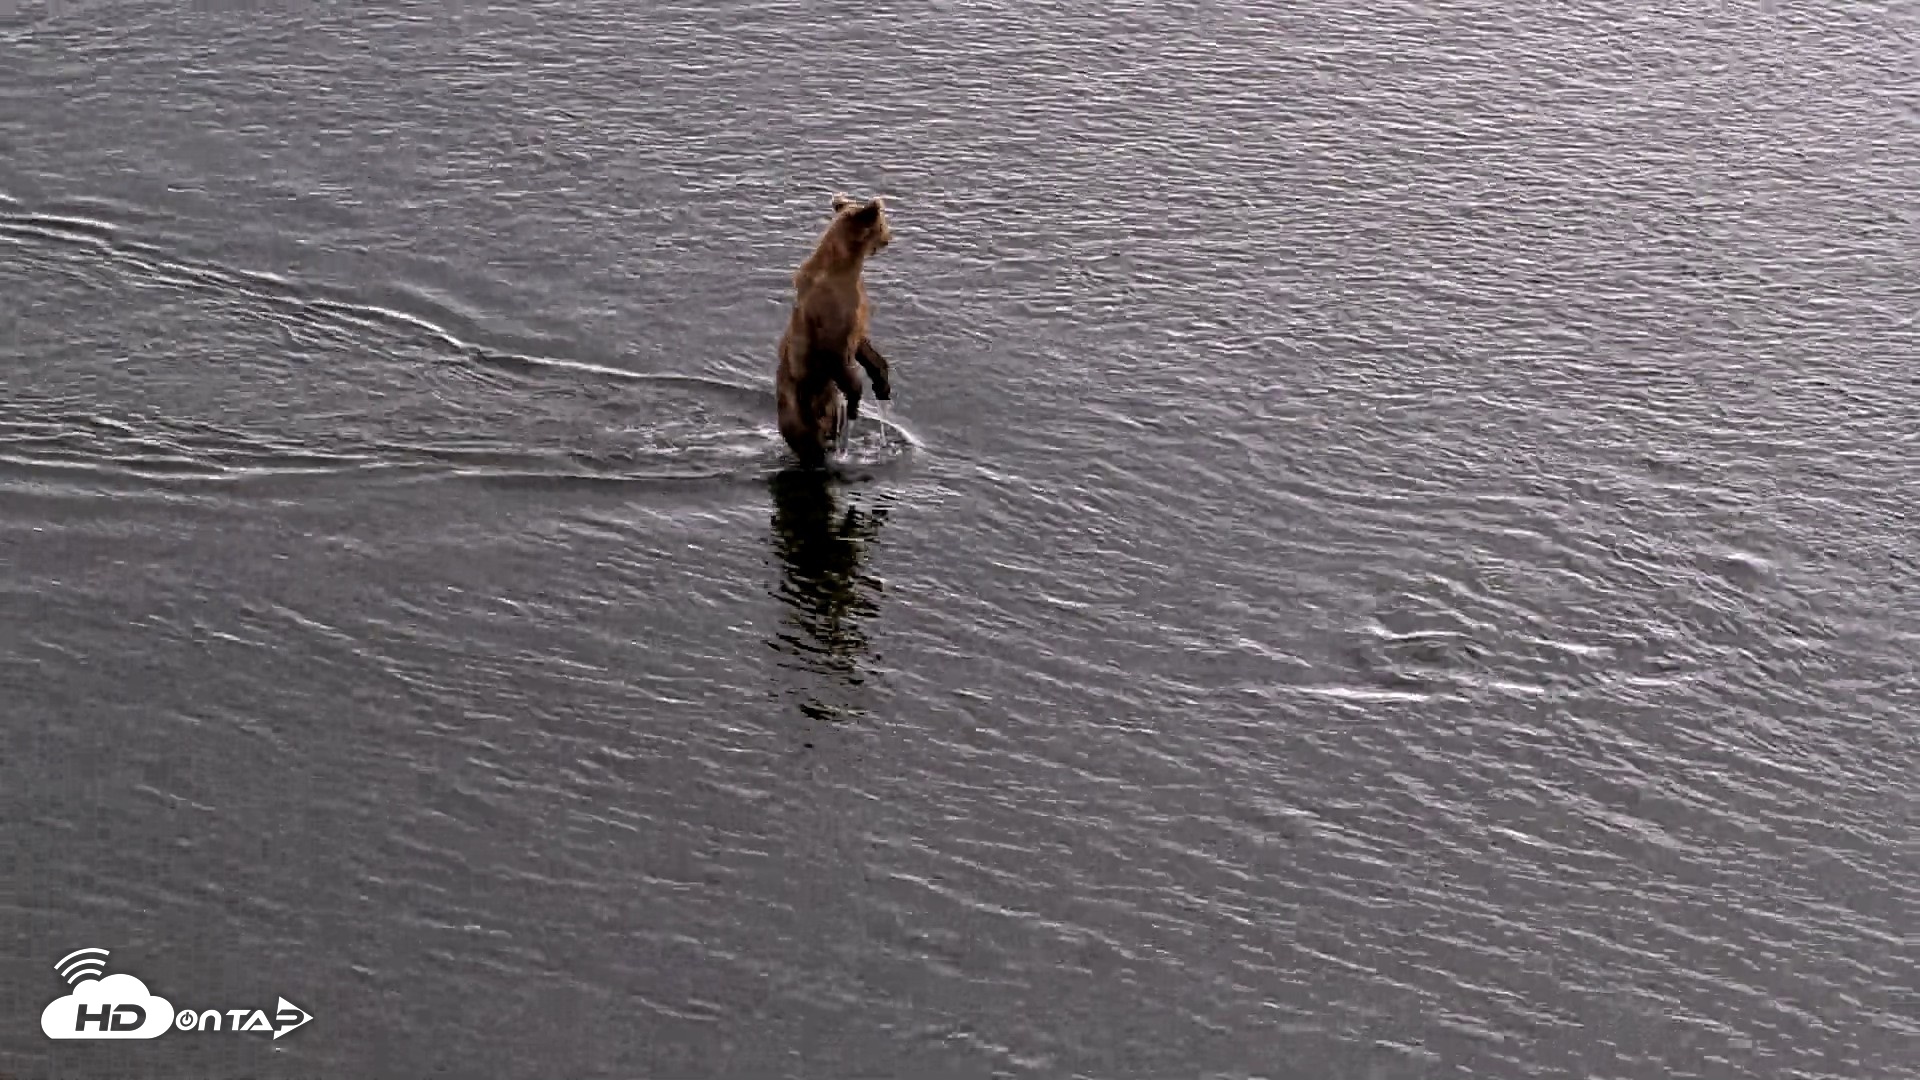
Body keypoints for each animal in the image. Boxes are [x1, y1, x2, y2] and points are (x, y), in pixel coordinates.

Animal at [774, 192, 894, 466]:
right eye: (883, 223)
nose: (890, 236)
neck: (845, 266)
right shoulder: (830, 320)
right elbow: (838, 358)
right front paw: (856, 401)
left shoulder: (856, 314)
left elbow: (864, 347)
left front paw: (882, 383)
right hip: (799, 407)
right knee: (807, 442)